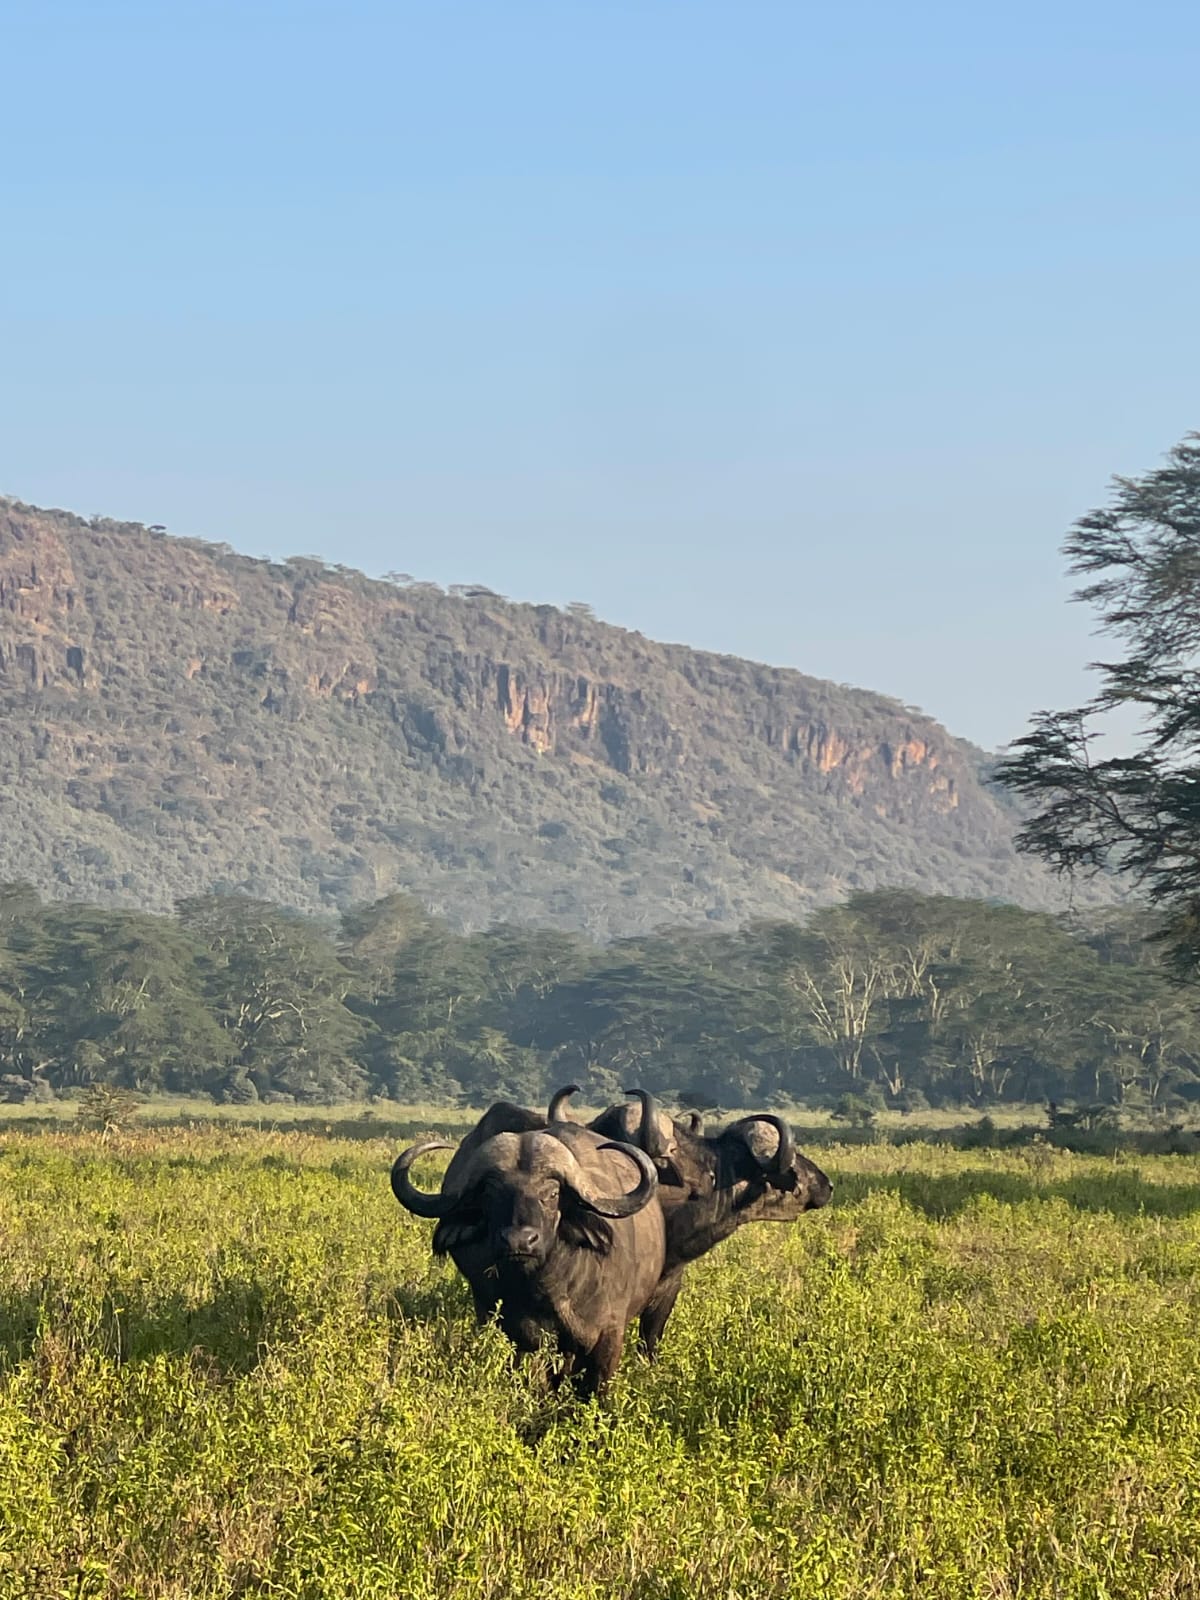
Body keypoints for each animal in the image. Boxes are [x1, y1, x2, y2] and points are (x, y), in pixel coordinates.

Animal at [391, 1120, 665, 1399]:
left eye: (553, 1193)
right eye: (489, 1193)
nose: (519, 1241)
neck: (551, 1287)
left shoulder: (609, 1335)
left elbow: (596, 1386)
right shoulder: (519, 1336)